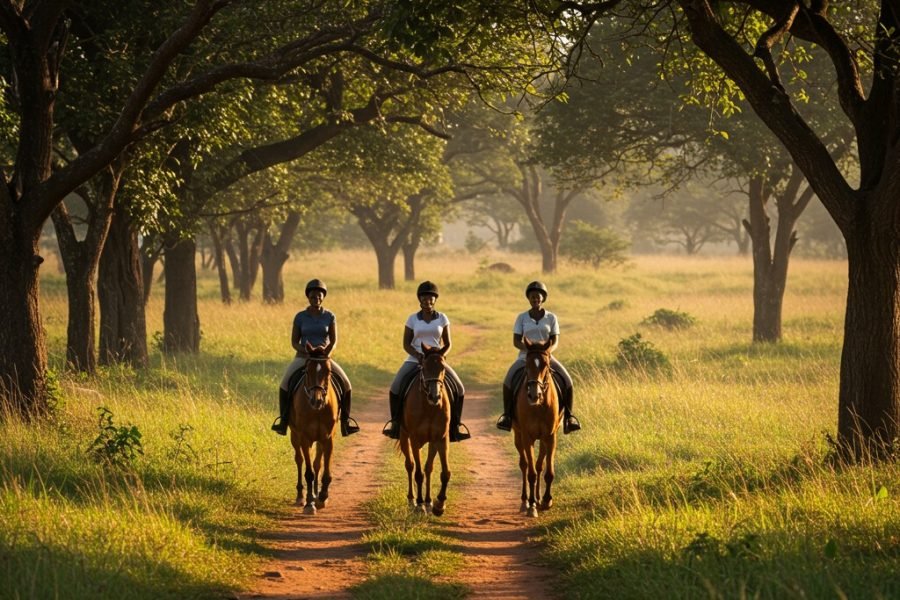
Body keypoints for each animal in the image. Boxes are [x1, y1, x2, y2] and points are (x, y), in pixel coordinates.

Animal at [289, 342, 338, 514]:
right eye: (307, 370)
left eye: (328, 371)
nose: (316, 401)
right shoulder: (304, 438)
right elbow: (308, 472)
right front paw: (309, 503)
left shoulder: (328, 438)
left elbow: (325, 470)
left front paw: (322, 496)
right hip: (295, 436)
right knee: (299, 460)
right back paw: (300, 496)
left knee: (317, 463)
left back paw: (317, 494)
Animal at [399, 343, 452, 516]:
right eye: (424, 367)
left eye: (443, 367)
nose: (435, 397)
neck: (429, 407)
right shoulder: (414, 439)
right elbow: (418, 473)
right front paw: (419, 505)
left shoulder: (441, 438)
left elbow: (445, 473)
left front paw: (439, 504)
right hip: (404, 437)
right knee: (410, 465)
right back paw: (412, 499)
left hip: (432, 442)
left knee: (429, 468)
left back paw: (428, 501)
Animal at [512, 337, 563, 517]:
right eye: (527, 364)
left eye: (546, 365)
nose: (534, 395)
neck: (539, 406)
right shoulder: (527, 437)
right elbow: (531, 473)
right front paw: (532, 505)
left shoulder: (550, 436)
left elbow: (548, 472)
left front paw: (547, 500)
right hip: (518, 436)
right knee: (525, 465)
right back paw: (525, 501)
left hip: (543, 438)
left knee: (540, 464)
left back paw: (539, 498)